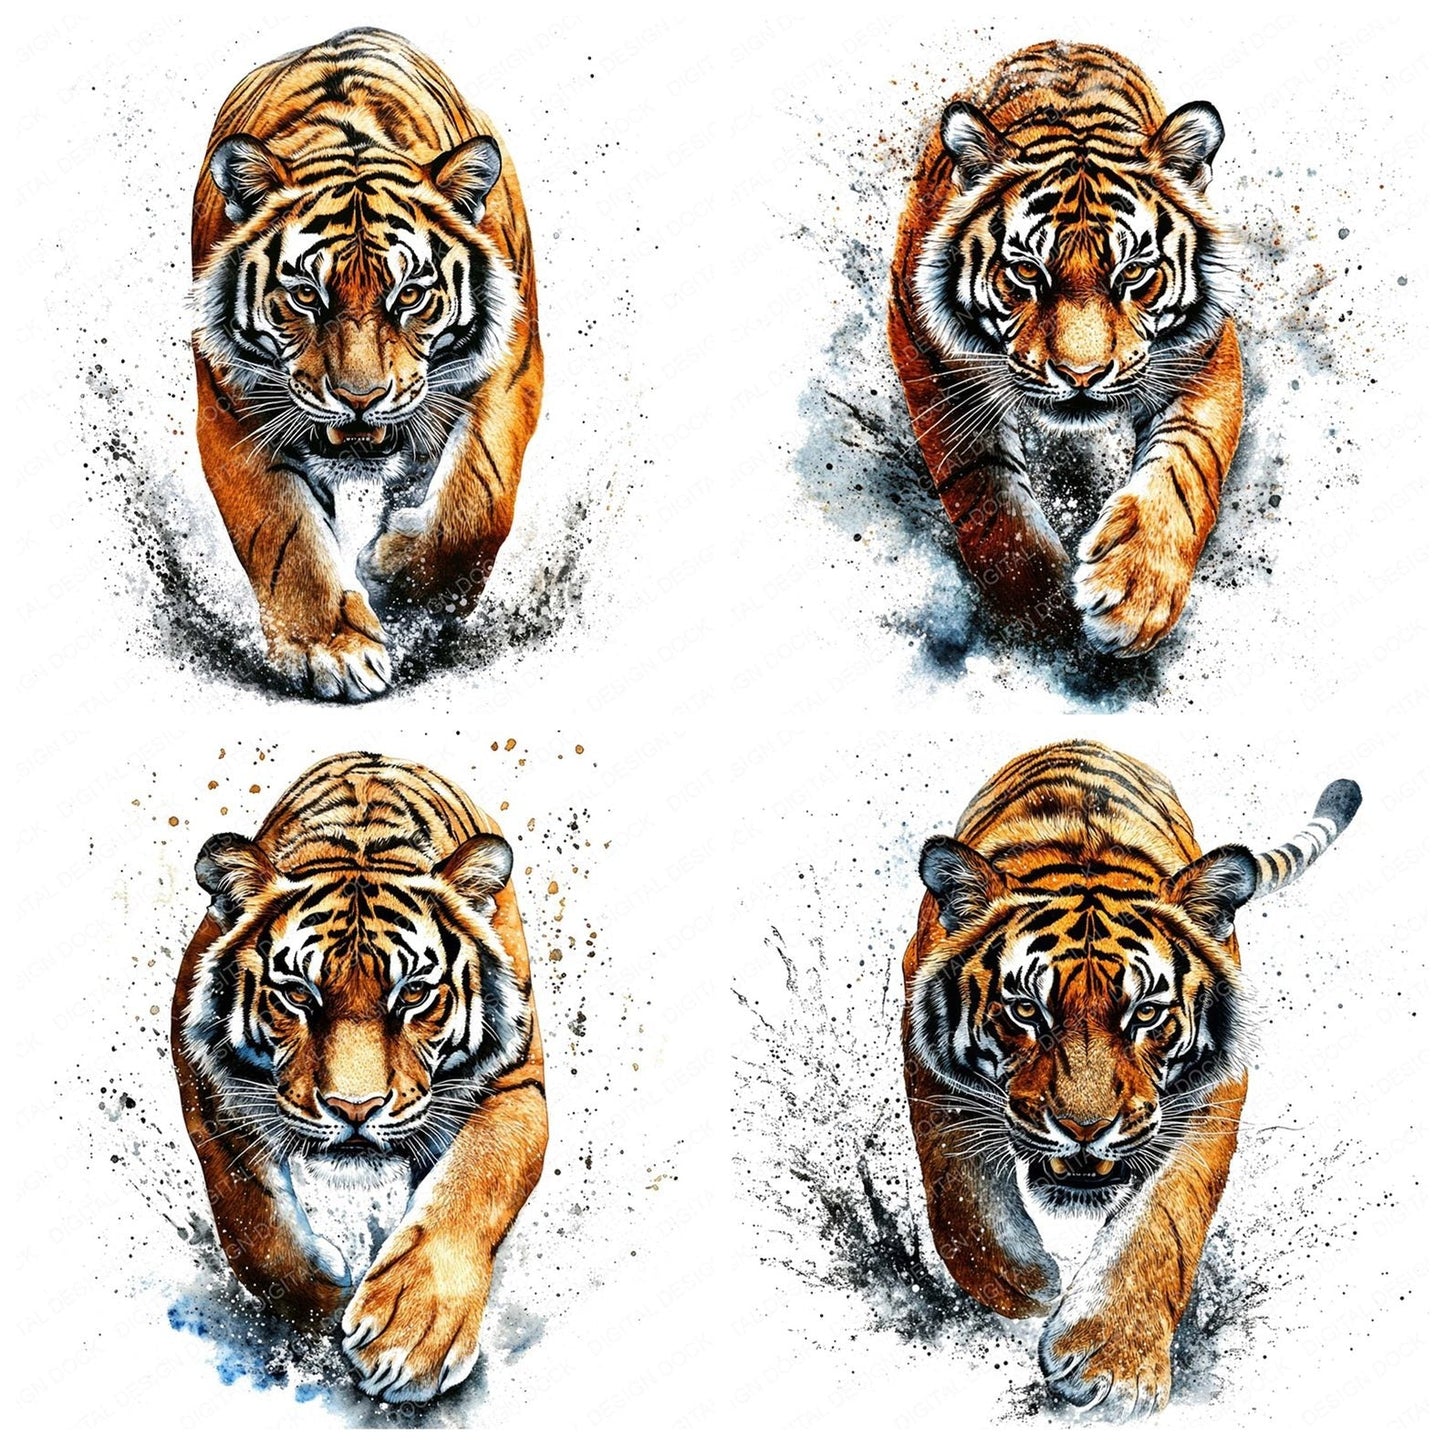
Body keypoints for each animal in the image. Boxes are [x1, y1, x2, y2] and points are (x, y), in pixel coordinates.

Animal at [171, 752, 546, 1402]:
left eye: (414, 993)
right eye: (298, 994)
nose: (354, 1109)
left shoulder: (518, 1081)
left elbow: (477, 1180)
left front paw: (411, 1337)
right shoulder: (207, 1074)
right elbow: (251, 1219)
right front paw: (323, 1301)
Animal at [191, 29, 543, 701]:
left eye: (409, 295)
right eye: (307, 295)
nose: (360, 398)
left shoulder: (511, 368)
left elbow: (479, 502)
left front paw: (402, 585)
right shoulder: (232, 409)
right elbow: (285, 534)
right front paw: (333, 649)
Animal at [889, 42, 1242, 656]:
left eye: (1133, 273)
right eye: (1028, 272)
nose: (1081, 375)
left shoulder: (1204, 355)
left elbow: (1186, 463)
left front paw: (1135, 593)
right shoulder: (934, 362)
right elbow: (987, 493)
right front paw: (1046, 615)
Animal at [901, 741, 1360, 1413]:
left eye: (1145, 1013)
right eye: (1026, 1010)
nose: (1084, 1128)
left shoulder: (1213, 1096)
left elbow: (1163, 1215)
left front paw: (1113, 1363)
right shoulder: (927, 1060)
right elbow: (960, 1189)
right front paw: (1022, 1284)